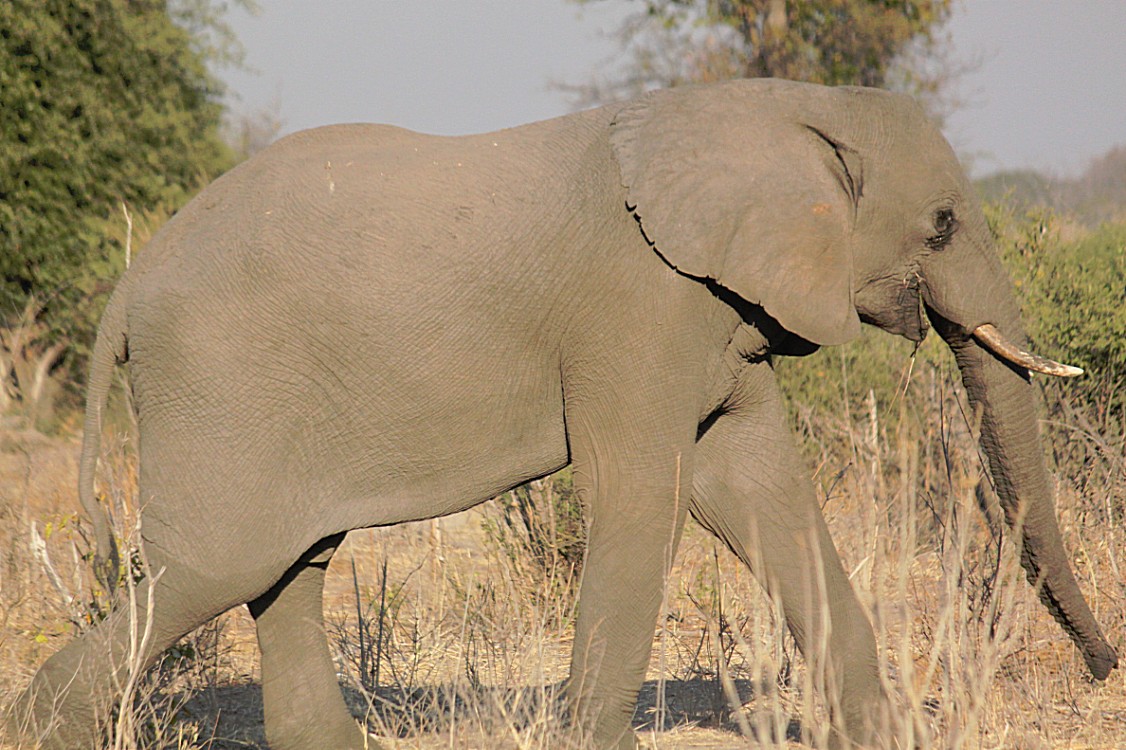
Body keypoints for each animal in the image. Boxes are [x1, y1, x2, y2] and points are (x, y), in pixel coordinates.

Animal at [8, 78, 1116, 743]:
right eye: (942, 224)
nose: (1104, 667)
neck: (776, 105)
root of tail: (129, 281)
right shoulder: (637, 304)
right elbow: (644, 498)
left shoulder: (715, 310)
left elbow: (761, 492)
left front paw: (888, 737)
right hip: (219, 381)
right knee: (216, 567)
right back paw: (35, 728)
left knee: (290, 566)